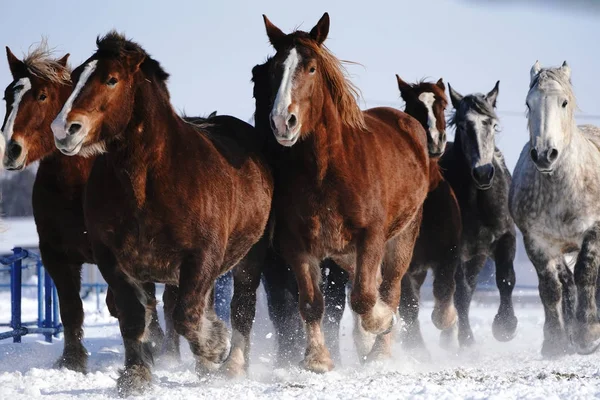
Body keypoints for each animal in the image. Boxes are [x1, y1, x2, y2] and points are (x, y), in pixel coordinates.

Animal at [1, 45, 169, 374]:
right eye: (6, 97)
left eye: (41, 96)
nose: (11, 150)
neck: (74, 186)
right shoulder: (55, 254)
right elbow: (70, 308)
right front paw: (72, 360)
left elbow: (127, 302)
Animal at [50, 32, 274, 396]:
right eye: (76, 78)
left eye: (111, 79)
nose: (63, 129)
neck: (146, 184)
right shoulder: (115, 261)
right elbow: (134, 317)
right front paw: (136, 375)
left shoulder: (201, 256)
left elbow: (186, 315)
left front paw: (215, 345)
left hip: (250, 258)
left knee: (242, 308)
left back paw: (231, 365)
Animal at [260, 13, 428, 372]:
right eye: (275, 69)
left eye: (311, 68)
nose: (282, 122)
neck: (327, 171)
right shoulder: (297, 244)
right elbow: (312, 303)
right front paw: (318, 359)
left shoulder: (372, 237)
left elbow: (365, 297)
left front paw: (381, 325)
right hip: (344, 252)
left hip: (402, 238)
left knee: (389, 289)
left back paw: (379, 350)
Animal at [508, 61, 600, 356]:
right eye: (529, 103)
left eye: (564, 102)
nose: (544, 155)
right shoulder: (537, 242)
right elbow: (551, 288)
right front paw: (555, 342)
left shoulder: (594, 231)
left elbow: (586, 274)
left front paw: (587, 333)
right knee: (565, 282)